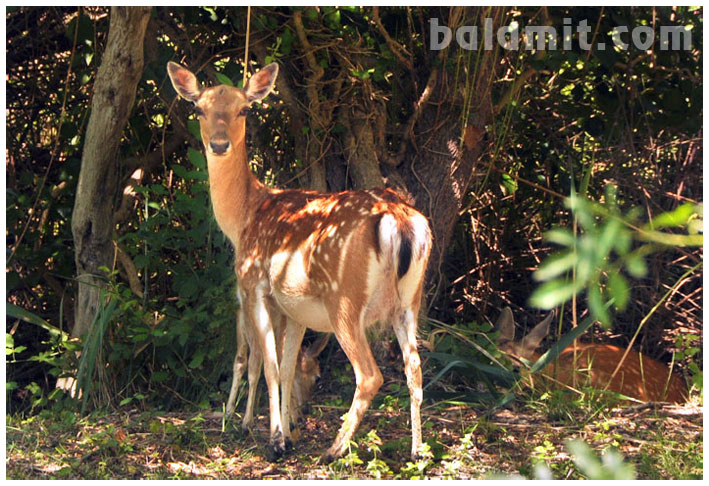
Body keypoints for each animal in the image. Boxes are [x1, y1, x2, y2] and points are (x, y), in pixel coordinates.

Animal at [168, 61, 432, 464]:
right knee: (414, 369)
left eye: (244, 110)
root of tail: (399, 219)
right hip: (409, 300)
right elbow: (289, 366)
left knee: (370, 374)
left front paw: (276, 439)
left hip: (344, 299)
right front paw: (289, 430)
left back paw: (334, 449)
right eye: (199, 108)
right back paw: (418, 451)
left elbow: (270, 365)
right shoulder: (293, 309)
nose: (219, 144)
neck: (245, 218)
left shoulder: (255, 285)